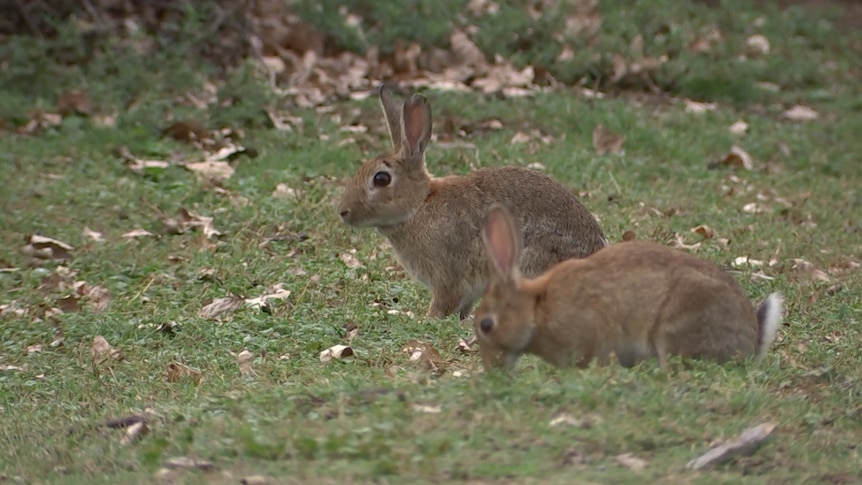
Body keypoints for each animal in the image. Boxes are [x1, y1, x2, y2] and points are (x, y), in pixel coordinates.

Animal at [338, 86, 608, 322]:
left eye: (381, 179)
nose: (343, 211)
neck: (419, 205)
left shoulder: (448, 276)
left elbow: (444, 303)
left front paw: (427, 319)